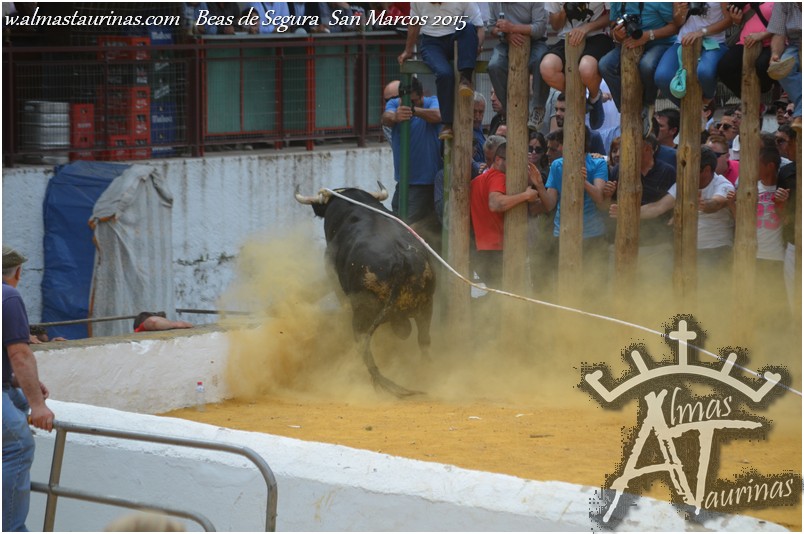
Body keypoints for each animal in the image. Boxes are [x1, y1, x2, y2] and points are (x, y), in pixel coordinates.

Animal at [295, 182, 435, 397]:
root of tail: (401, 259)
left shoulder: (332, 274)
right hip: (426, 305)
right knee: (424, 341)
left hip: (364, 314)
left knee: (365, 348)